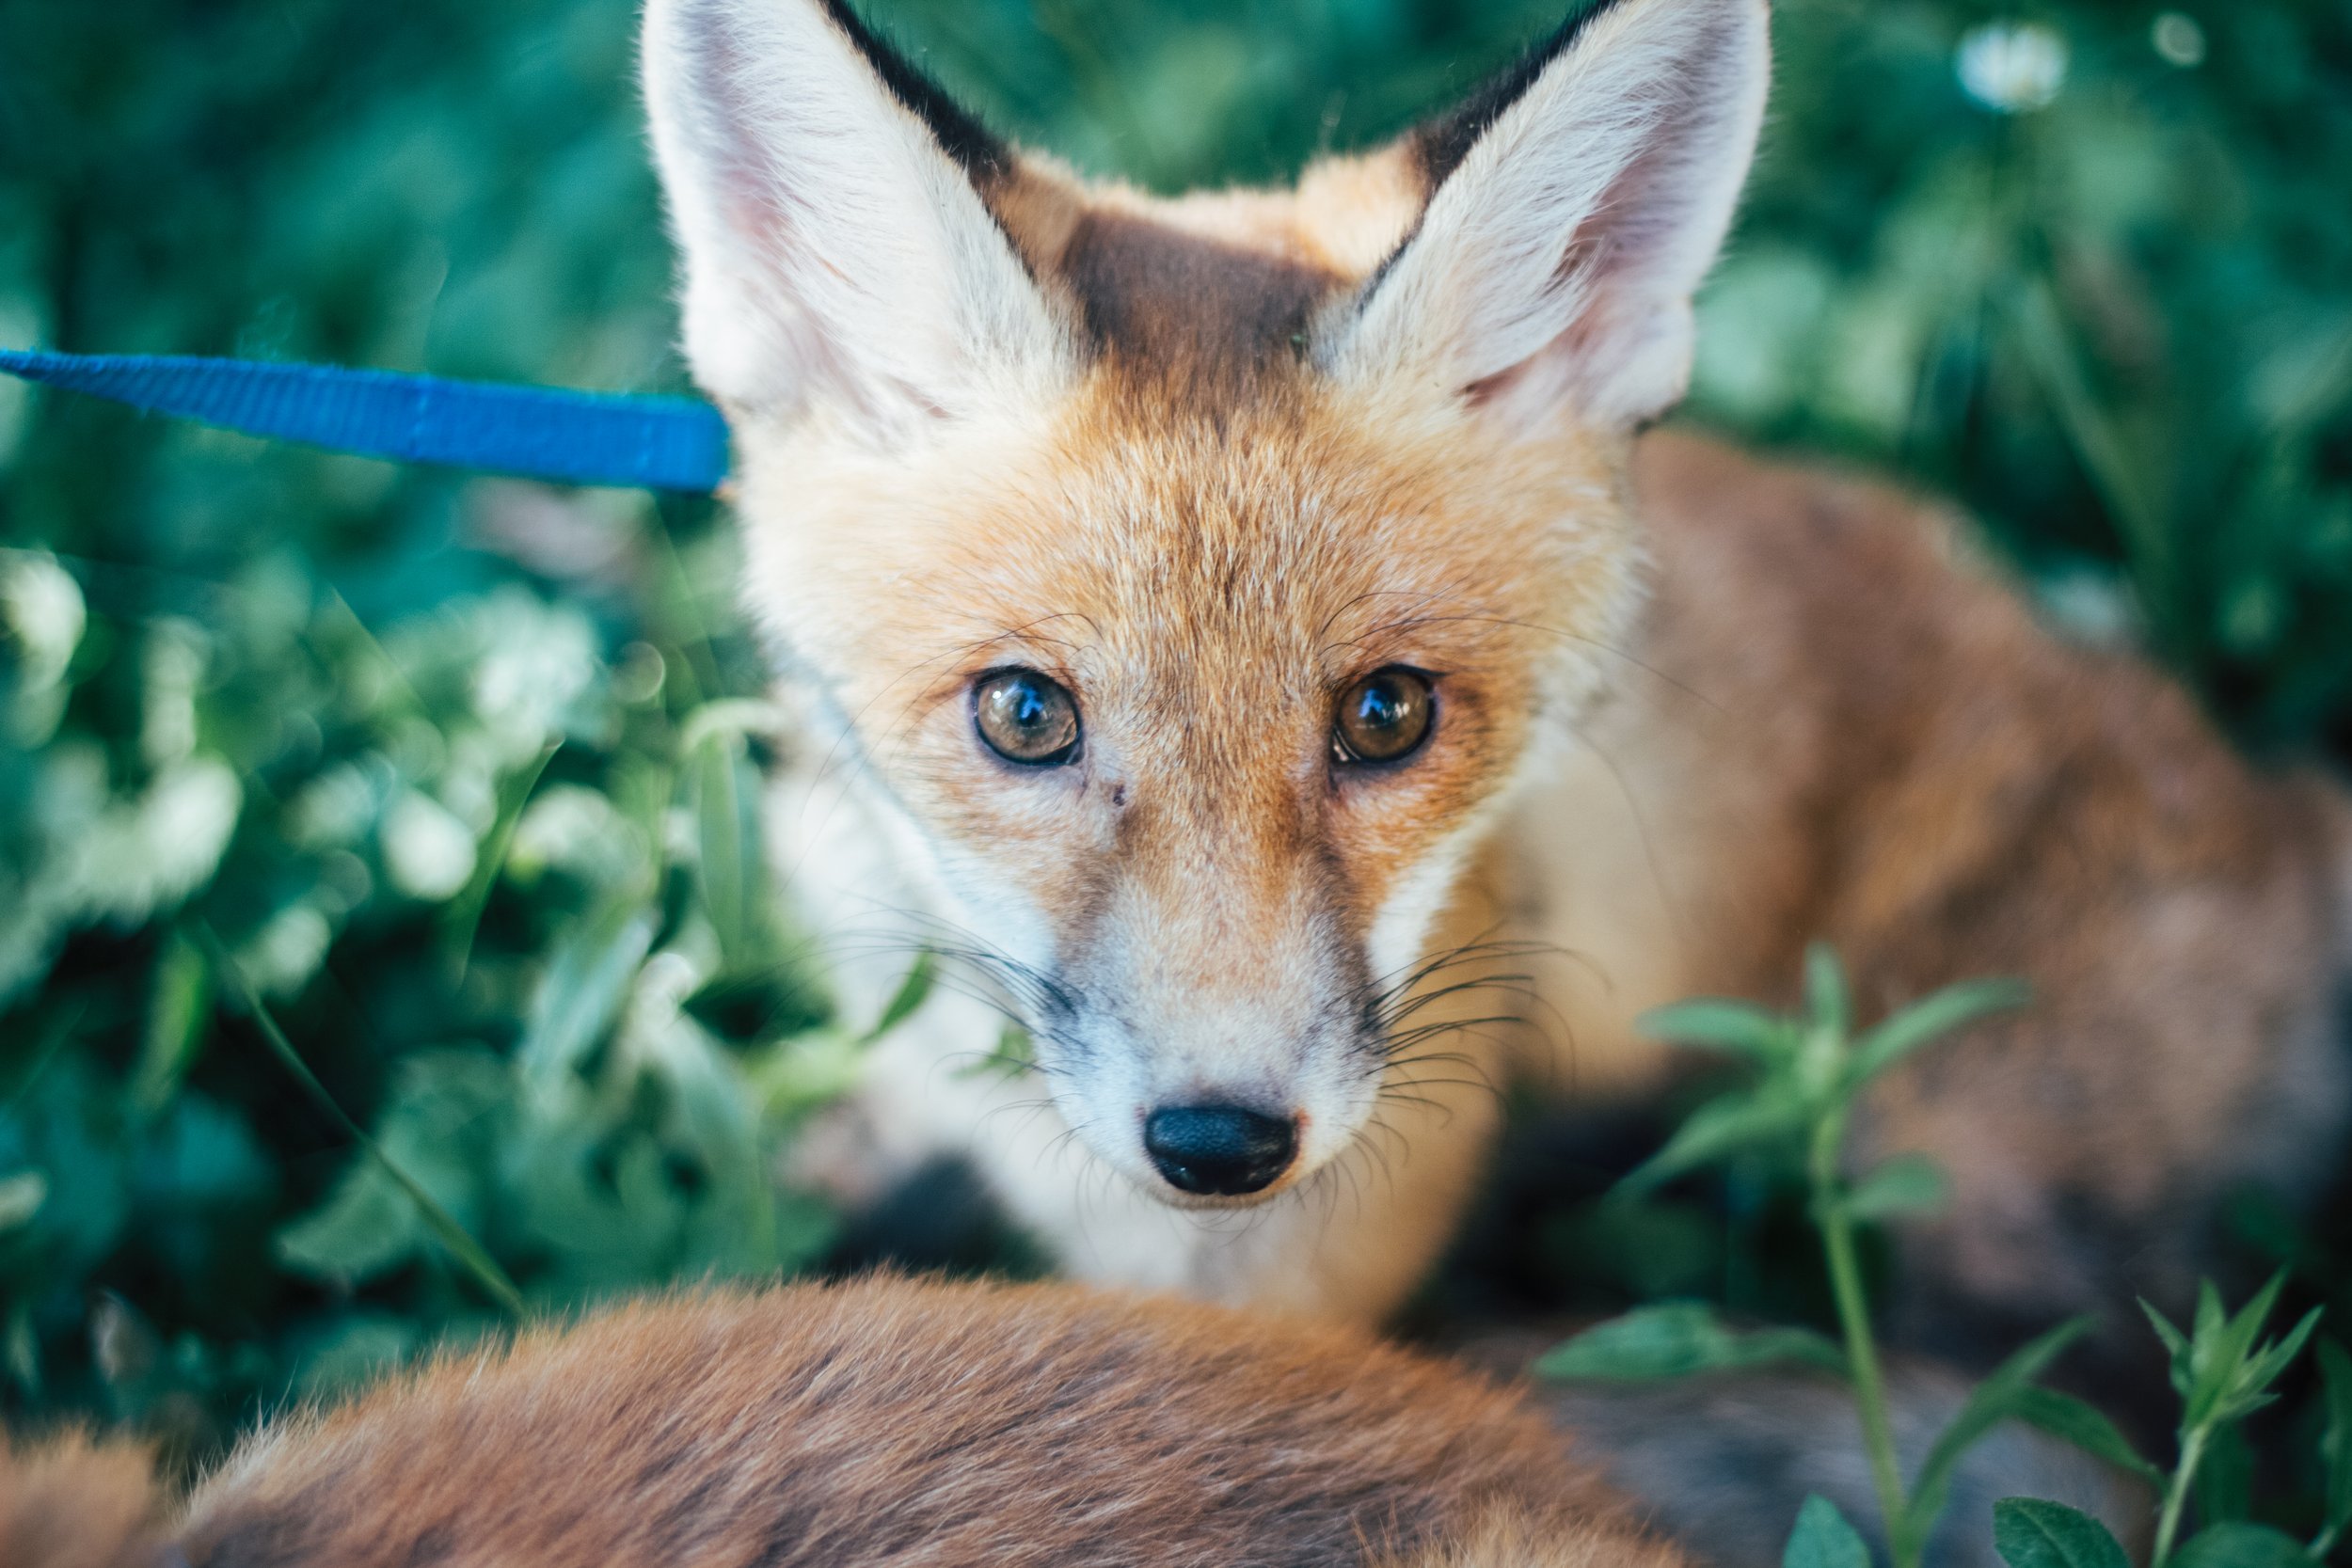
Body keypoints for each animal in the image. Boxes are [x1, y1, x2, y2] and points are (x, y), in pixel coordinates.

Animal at [640, 0, 2352, 1376]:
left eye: (1387, 714)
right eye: (1023, 714)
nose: (1221, 1144)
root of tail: (2266, 786)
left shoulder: (1292, 1281)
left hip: (1954, 1173)